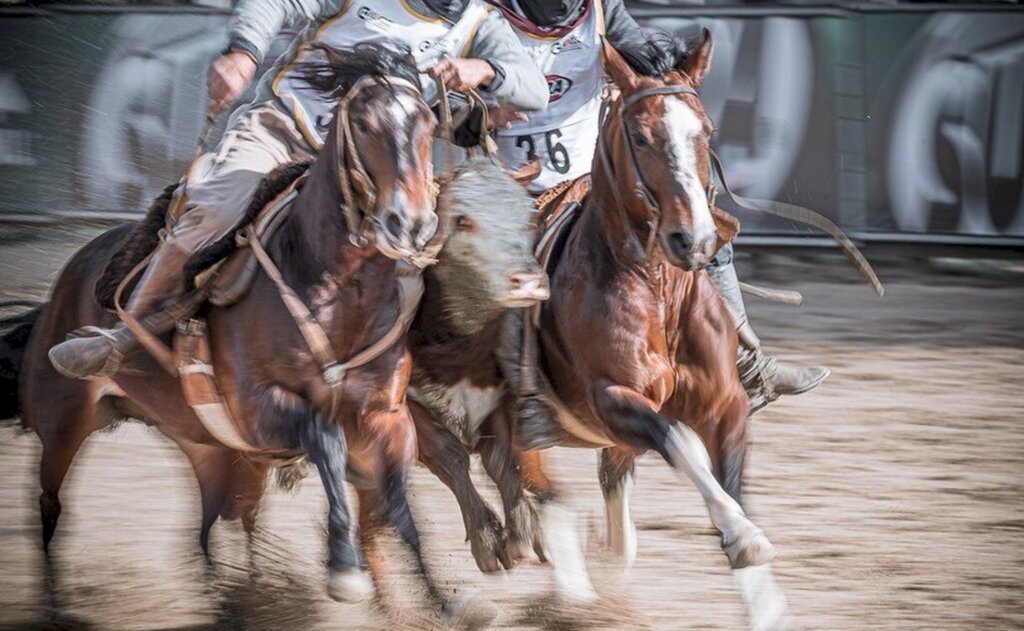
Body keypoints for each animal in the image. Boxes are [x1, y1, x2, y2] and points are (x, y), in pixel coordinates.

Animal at [9, 43, 471, 614]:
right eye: (364, 124)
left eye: (428, 121)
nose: (410, 222)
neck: (337, 290)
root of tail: (64, 284)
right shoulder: (258, 409)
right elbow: (326, 439)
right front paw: (343, 568)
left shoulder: (384, 417)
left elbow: (400, 506)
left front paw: (446, 602)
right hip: (63, 422)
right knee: (50, 509)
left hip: (210, 448)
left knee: (212, 527)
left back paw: (236, 595)